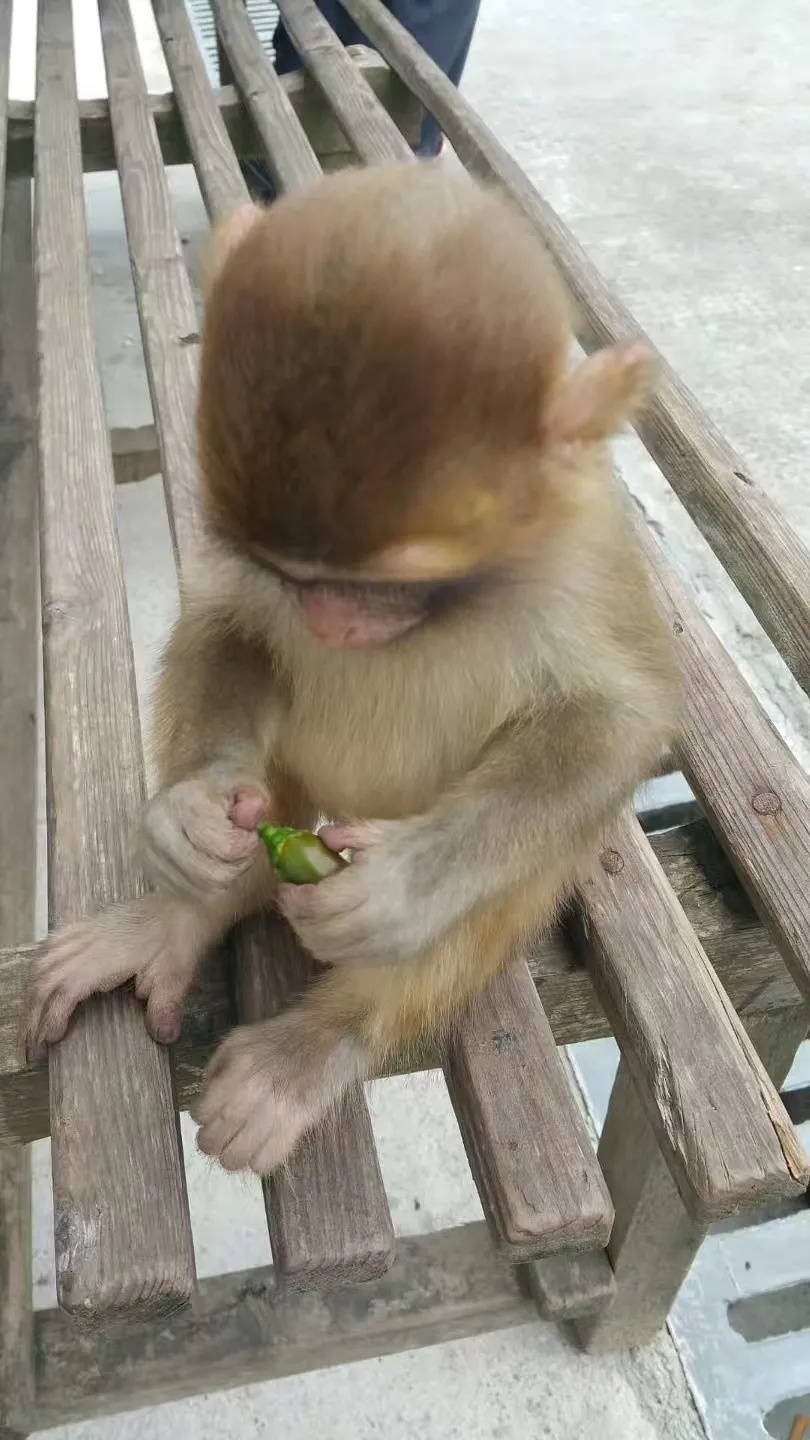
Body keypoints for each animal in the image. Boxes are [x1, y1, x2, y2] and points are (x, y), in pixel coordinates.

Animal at [26, 163, 674, 1180]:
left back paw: (314, 1047)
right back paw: (190, 910)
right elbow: (231, 623)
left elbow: (618, 723)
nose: (329, 621)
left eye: (377, 585)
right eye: (296, 576)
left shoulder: (585, 557)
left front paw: (402, 883)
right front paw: (192, 810)